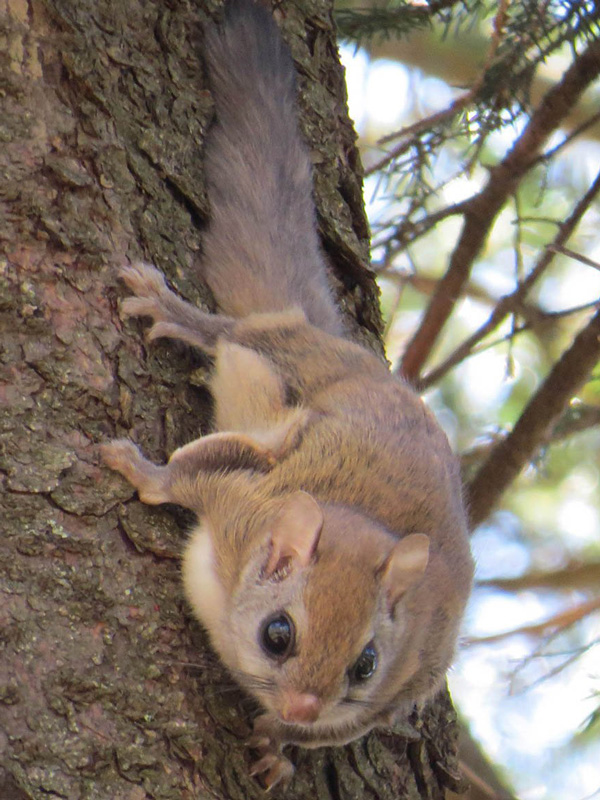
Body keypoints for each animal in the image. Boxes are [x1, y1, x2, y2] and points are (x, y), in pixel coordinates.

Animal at [101, 0, 474, 789]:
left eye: (366, 665)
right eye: (280, 635)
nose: (303, 705)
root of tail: (347, 352)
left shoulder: (397, 687)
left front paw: (278, 744)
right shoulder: (240, 497)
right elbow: (182, 477)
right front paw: (139, 469)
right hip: (276, 358)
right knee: (230, 335)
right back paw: (176, 313)